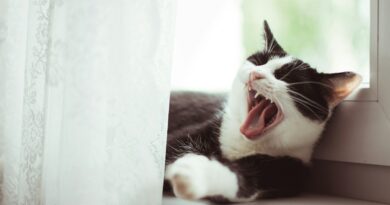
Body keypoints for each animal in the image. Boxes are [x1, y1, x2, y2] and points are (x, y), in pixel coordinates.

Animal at [163, 20, 362, 203]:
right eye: (258, 62)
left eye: (286, 77)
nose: (255, 74)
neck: (244, 144)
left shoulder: (285, 170)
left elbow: (243, 182)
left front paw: (190, 174)